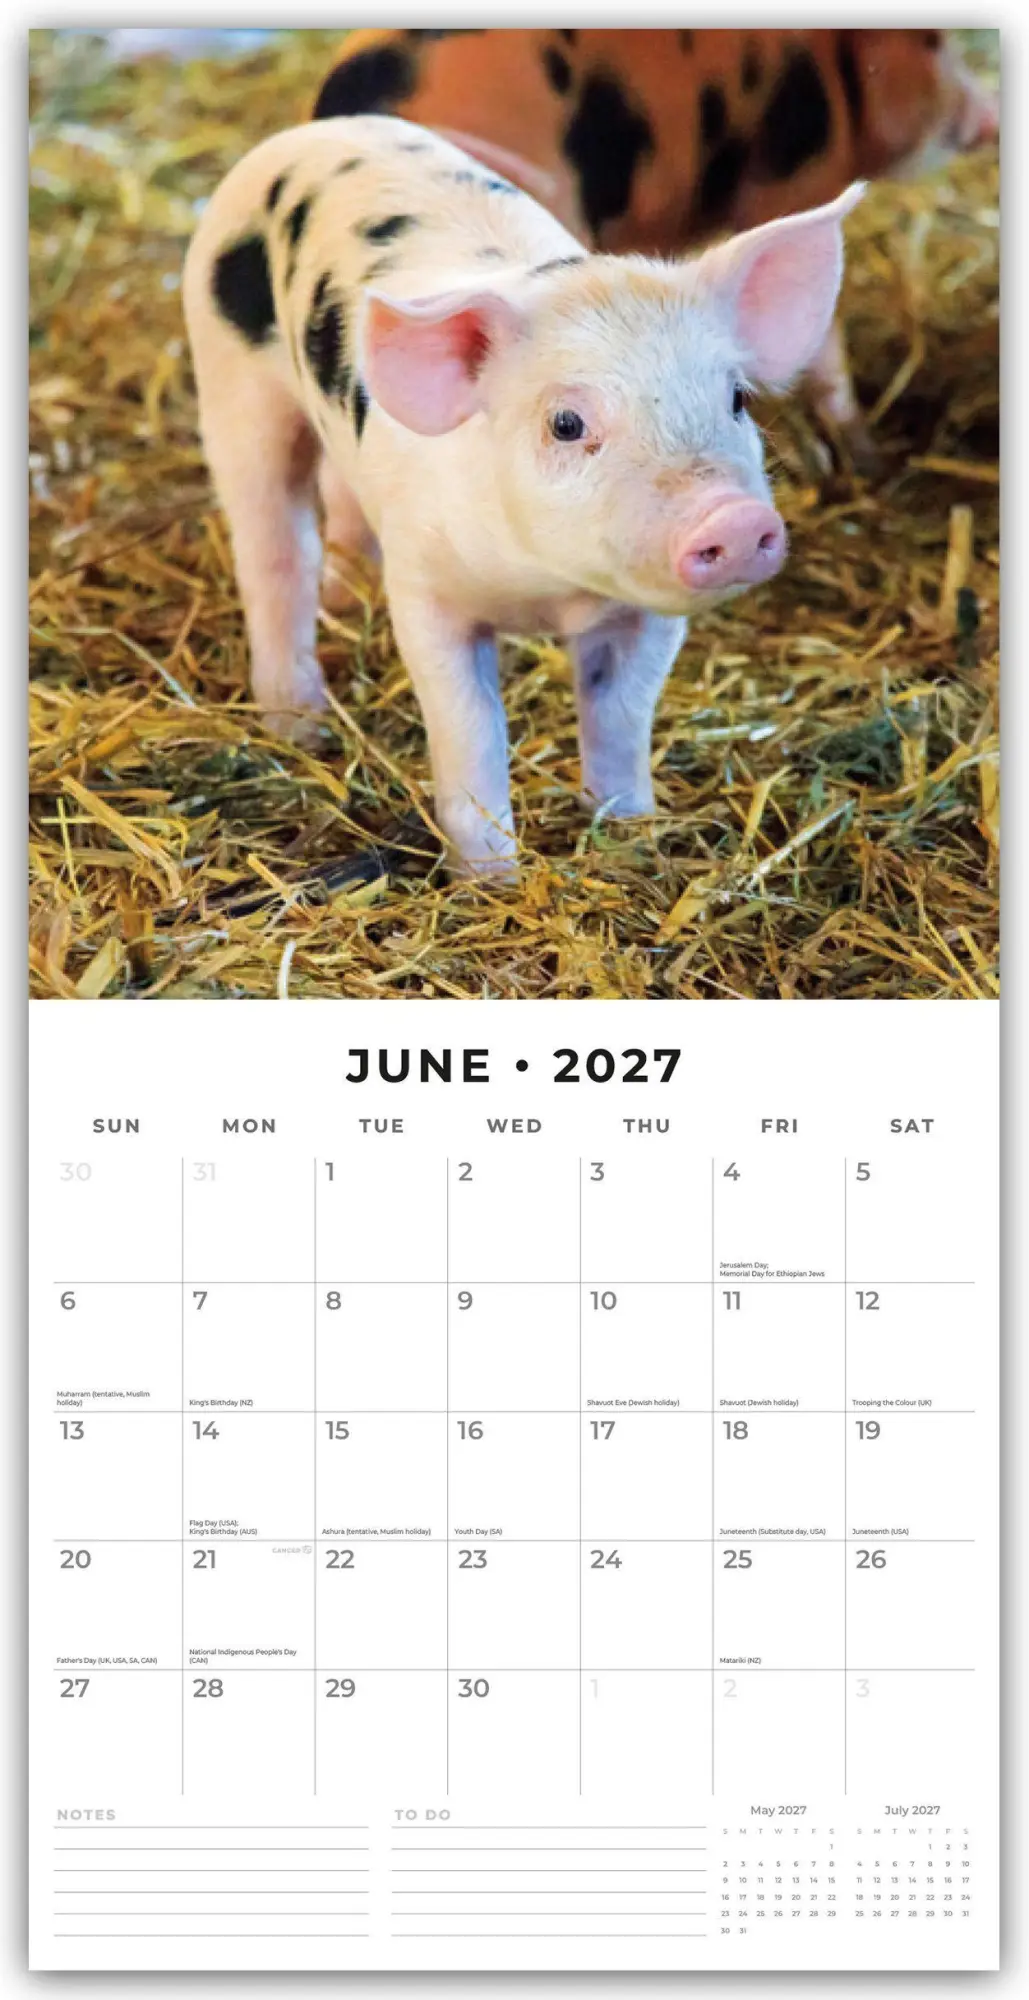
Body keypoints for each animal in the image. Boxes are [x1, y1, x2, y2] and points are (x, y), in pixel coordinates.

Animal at [183, 115, 861, 873]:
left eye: (737, 399)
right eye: (566, 423)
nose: (735, 519)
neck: (547, 590)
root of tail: (319, 129)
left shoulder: (646, 617)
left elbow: (621, 714)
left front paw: (627, 831)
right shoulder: (426, 590)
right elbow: (471, 727)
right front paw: (489, 877)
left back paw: (346, 604)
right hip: (231, 382)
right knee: (273, 548)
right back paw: (298, 727)